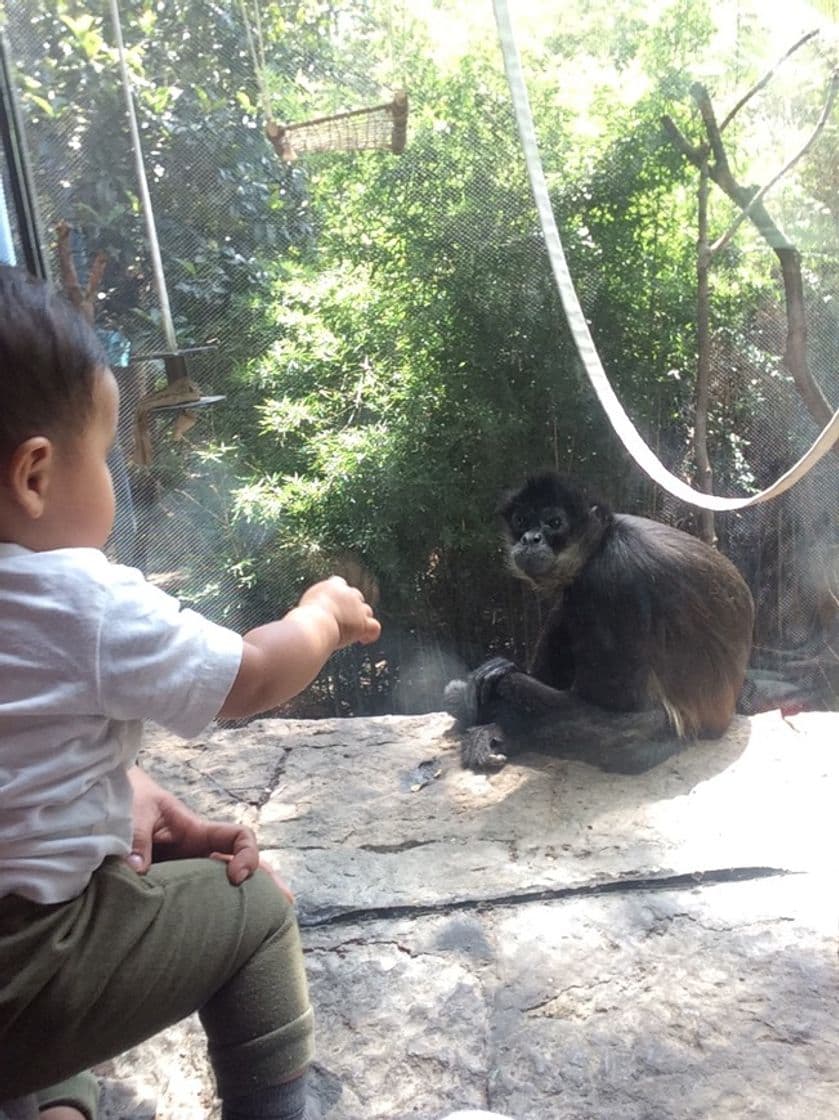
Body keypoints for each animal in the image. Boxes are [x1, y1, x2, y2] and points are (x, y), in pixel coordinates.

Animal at [445, 470, 752, 770]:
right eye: (521, 520)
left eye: (554, 523)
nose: (530, 538)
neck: (604, 541)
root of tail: (725, 714)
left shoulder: (611, 577)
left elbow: (619, 704)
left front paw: (499, 682)